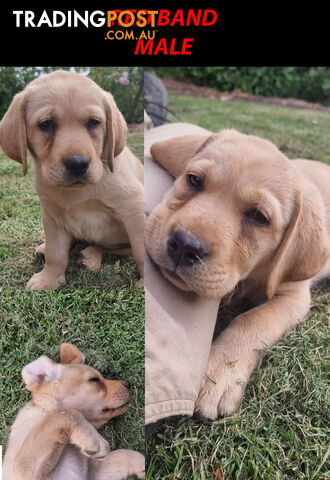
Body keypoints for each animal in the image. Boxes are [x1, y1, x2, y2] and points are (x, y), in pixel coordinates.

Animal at [0, 70, 144, 288]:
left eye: (94, 122)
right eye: (46, 124)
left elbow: (140, 251)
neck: (76, 192)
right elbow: (55, 252)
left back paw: (91, 255)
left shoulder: (134, 207)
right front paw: (49, 279)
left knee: (114, 248)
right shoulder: (51, 216)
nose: (78, 164)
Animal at [2, 344, 144, 480]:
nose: (128, 384)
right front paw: (94, 440)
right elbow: (66, 413)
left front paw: (143, 465)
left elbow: (126, 455)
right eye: (94, 379)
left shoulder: (94, 474)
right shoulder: (23, 468)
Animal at [147, 124, 330, 420]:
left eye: (258, 217)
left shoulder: (294, 296)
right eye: (194, 180)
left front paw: (218, 375)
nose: (185, 245)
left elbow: (253, 320)